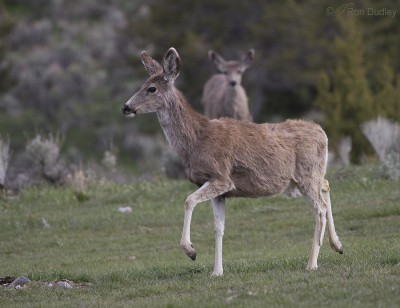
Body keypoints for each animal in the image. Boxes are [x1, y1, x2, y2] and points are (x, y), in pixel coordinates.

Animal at [122, 48, 344, 276]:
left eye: (151, 88)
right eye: (143, 84)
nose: (126, 107)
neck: (195, 139)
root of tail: (322, 132)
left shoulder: (221, 177)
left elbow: (189, 200)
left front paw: (191, 251)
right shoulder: (221, 191)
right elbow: (218, 228)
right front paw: (217, 271)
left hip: (306, 176)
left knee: (320, 209)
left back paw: (312, 263)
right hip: (304, 178)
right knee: (326, 187)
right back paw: (337, 245)